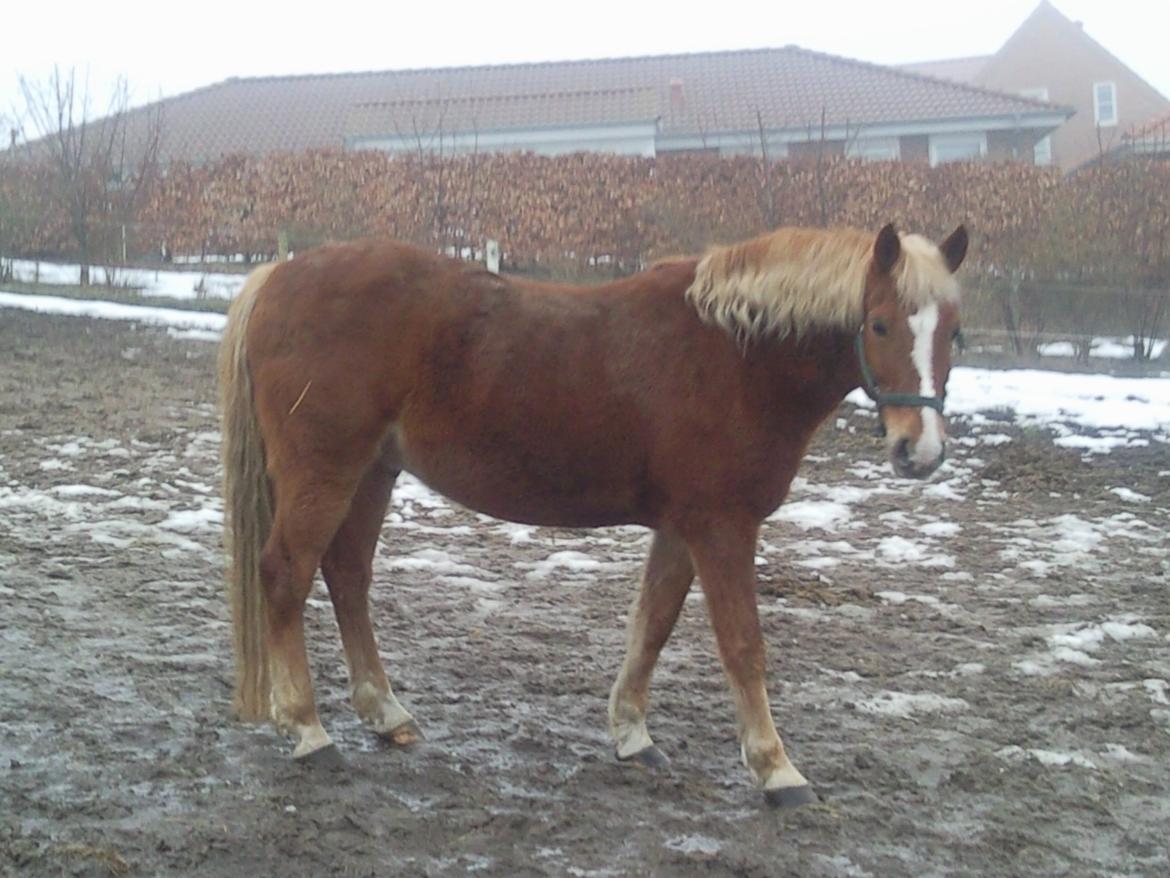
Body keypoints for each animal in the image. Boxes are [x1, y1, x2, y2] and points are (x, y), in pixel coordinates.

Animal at [219, 221, 968, 810]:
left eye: (953, 333)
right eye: (878, 324)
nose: (920, 451)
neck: (735, 356)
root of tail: (280, 276)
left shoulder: (681, 528)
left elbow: (652, 626)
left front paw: (632, 735)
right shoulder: (721, 525)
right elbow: (743, 646)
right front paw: (776, 769)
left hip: (373, 472)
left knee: (347, 577)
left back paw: (385, 713)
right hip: (325, 472)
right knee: (286, 575)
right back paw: (308, 731)